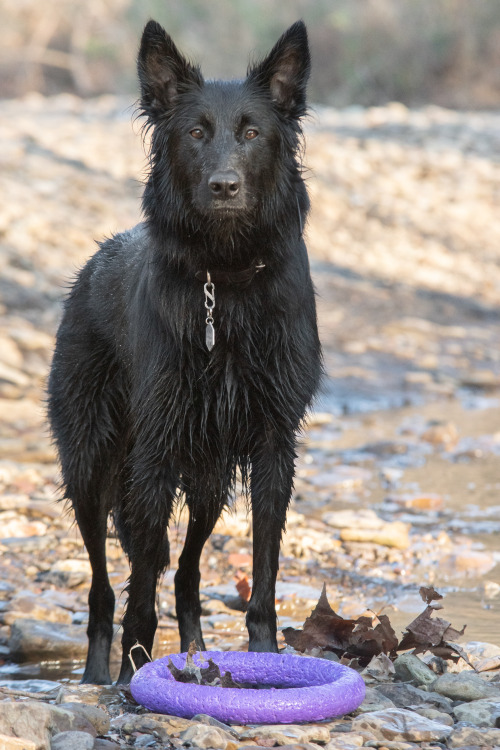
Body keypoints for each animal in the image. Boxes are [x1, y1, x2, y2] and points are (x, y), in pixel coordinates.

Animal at [47, 19, 320, 688]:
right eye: (195, 132)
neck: (225, 281)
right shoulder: (156, 449)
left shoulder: (273, 446)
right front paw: (134, 671)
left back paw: (195, 650)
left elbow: (263, 571)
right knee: (104, 584)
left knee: (190, 570)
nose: (224, 186)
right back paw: (98, 674)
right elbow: (142, 576)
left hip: (210, 480)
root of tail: (92, 264)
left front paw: (264, 655)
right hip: (92, 463)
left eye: (251, 132)